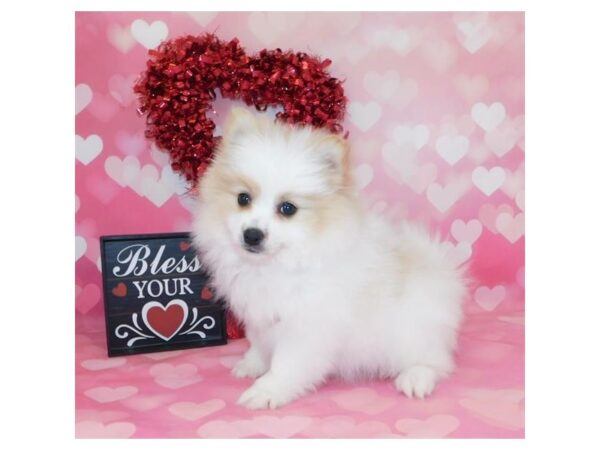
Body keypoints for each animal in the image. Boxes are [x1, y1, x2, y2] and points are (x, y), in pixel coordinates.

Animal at [195, 108, 466, 408]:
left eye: (287, 208)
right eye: (243, 199)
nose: (252, 234)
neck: (281, 263)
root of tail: (440, 271)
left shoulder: (307, 327)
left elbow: (286, 364)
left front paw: (266, 391)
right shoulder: (260, 317)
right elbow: (259, 344)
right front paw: (252, 364)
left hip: (411, 333)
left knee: (434, 362)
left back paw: (415, 378)